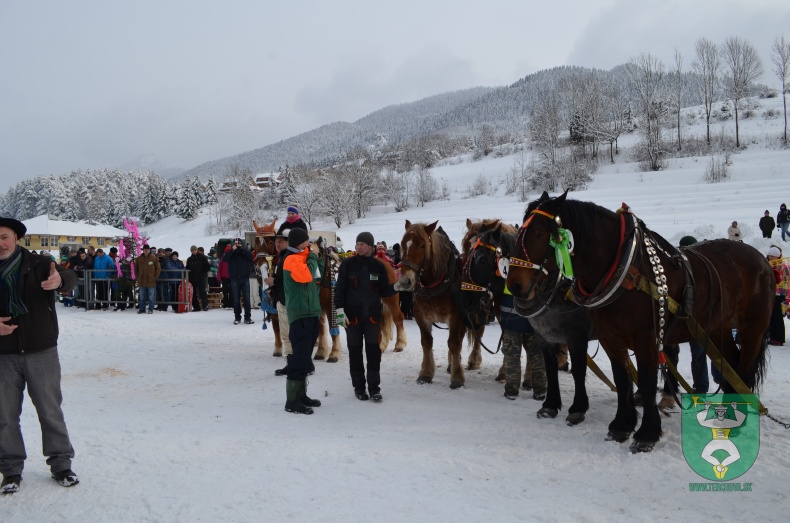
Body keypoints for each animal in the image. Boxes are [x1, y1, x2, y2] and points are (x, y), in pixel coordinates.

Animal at [508, 190, 772, 452]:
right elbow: (620, 378)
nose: (514, 285)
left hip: (752, 329)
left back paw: (738, 420)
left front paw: (646, 433)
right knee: (730, 364)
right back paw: (729, 411)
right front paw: (621, 425)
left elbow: (642, 380)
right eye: (518, 234)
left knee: (743, 368)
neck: (625, 269)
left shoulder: (635, 338)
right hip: (717, 329)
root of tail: (762, 259)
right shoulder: (606, 338)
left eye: (540, 234)